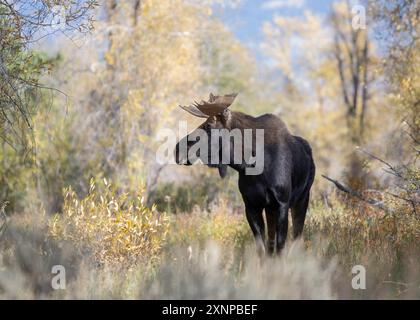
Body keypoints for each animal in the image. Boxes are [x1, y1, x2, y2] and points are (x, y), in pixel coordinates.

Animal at [175, 93, 316, 255]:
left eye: (209, 126)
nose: (177, 150)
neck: (252, 165)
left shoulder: (282, 203)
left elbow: (280, 246)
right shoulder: (251, 206)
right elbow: (262, 248)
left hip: (302, 198)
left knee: (297, 237)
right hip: (270, 209)